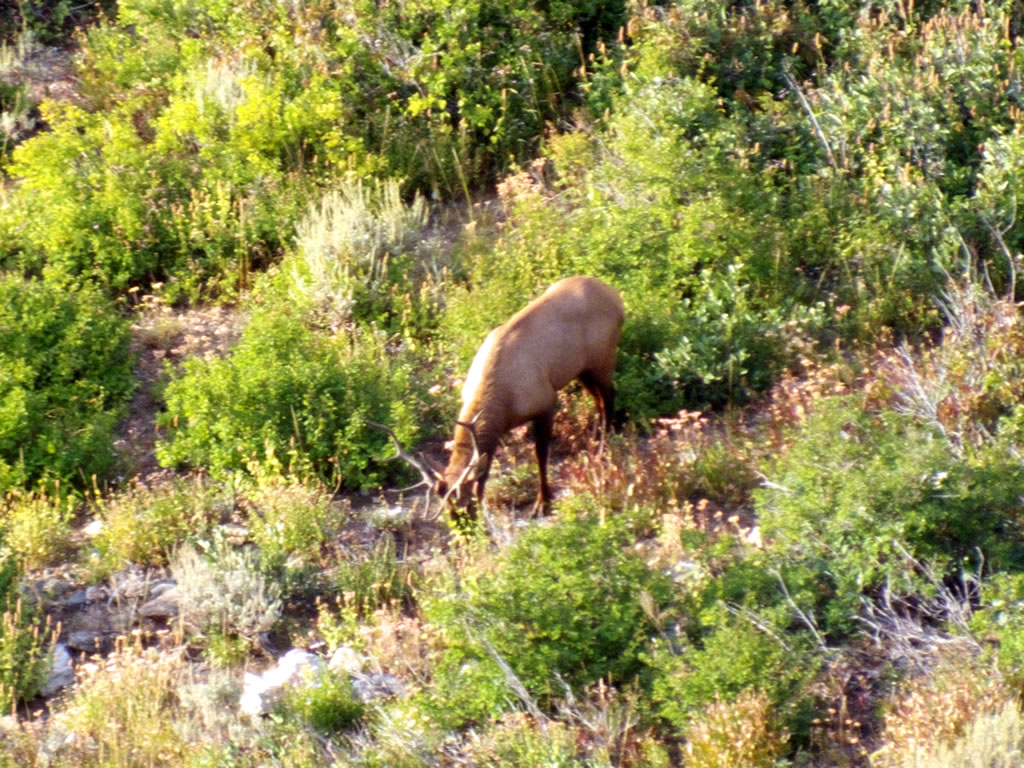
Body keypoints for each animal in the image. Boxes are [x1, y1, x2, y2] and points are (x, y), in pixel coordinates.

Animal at [372, 276, 623, 524]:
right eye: (448, 510)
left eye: (465, 505)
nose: (464, 531)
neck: (502, 403)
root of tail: (616, 297)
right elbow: (485, 470)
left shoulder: (545, 401)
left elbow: (541, 454)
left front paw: (543, 503)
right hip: (583, 369)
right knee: (599, 401)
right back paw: (596, 441)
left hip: (602, 359)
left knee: (609, 396)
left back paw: (604, 447)